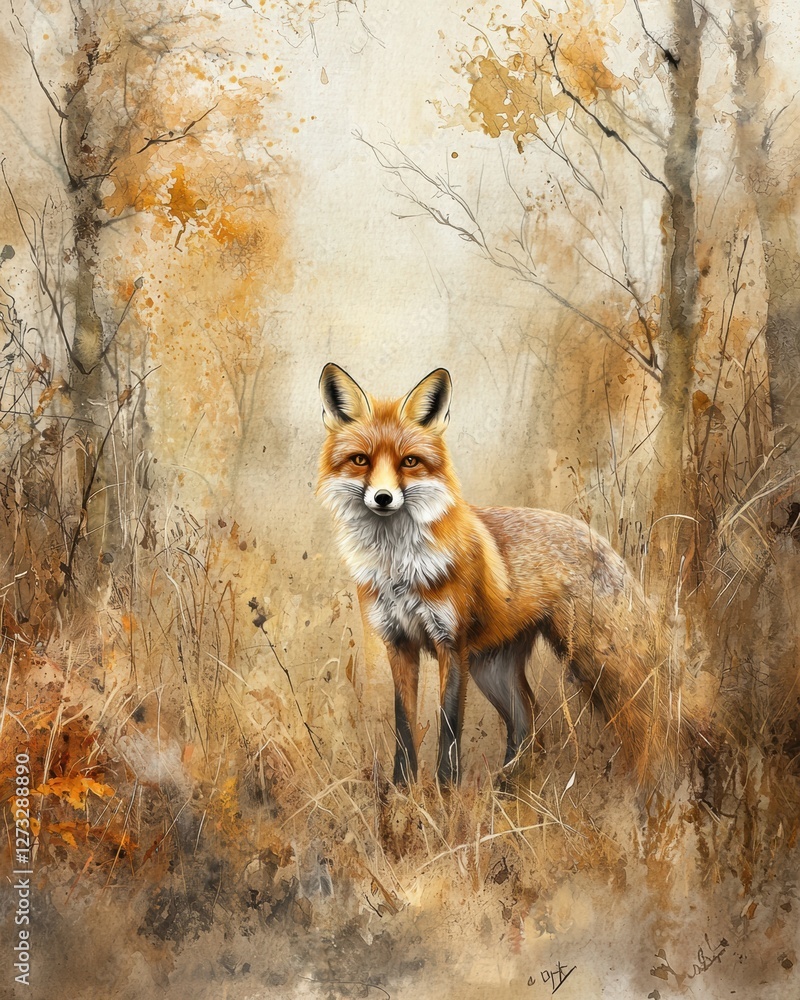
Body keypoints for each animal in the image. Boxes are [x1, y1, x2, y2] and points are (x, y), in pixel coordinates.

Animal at [317, 363, 687, 789]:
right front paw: (402, 793)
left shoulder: (451, 644)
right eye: (360, 459)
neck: (399, 567)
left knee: (651, 720)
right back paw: (510, 789)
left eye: (409, 462)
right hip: (494, 672)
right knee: (531, 727)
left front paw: (445, 793)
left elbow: (449, 728)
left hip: (598, 660)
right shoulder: (399, 644)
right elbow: (404, 728)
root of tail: (595, 535)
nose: (382, 498)